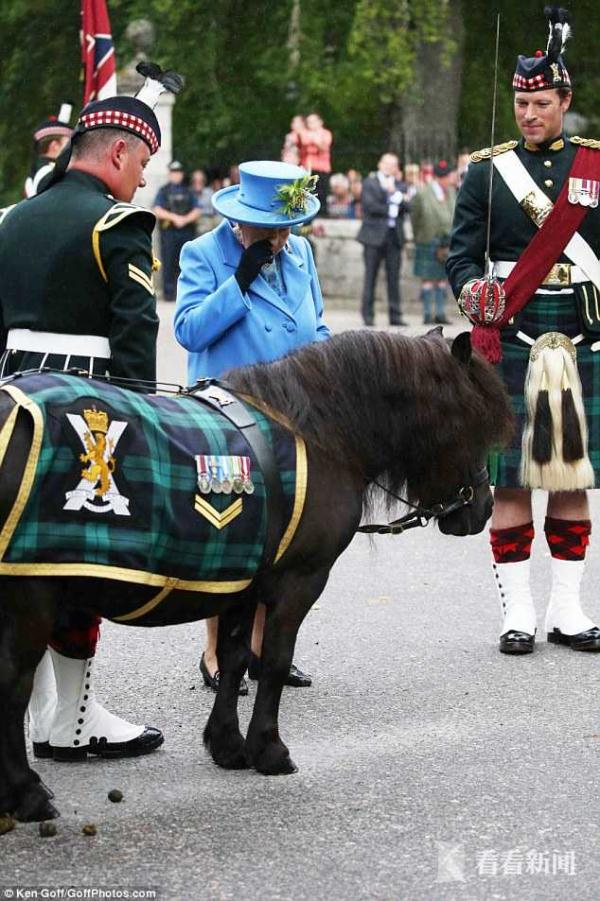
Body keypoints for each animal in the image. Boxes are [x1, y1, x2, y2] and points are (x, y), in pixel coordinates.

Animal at [0, 330, 510, 824]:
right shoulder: (299, 581)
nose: (481, 509)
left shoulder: (239, 583)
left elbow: (234, 658)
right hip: (30, 599)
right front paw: (269, 748)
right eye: (471, 424)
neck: (317, 434)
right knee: (14, 683)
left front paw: (227, 745)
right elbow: (275, 661)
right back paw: (26, 793)